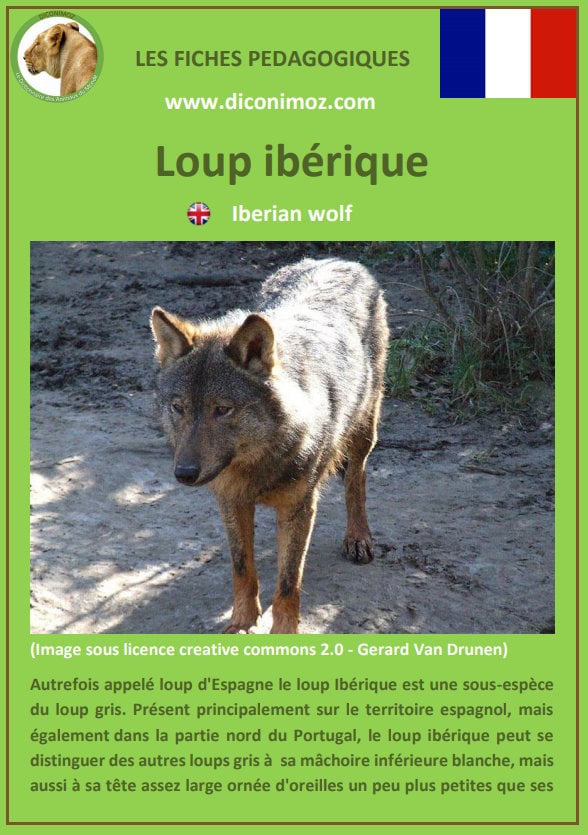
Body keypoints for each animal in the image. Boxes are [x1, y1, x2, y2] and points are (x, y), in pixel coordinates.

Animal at [150, 258, 389, 634]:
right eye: (179, 407)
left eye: (223, 409)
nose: (184, 473)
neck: (258, 465)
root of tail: (339, 260)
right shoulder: (230, 501)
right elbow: (242, 568)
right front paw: (241, 624)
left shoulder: (298, 508)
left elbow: (289, 582)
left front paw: (284, 633)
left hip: (365, 427)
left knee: (357, 477)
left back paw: (357, 538)